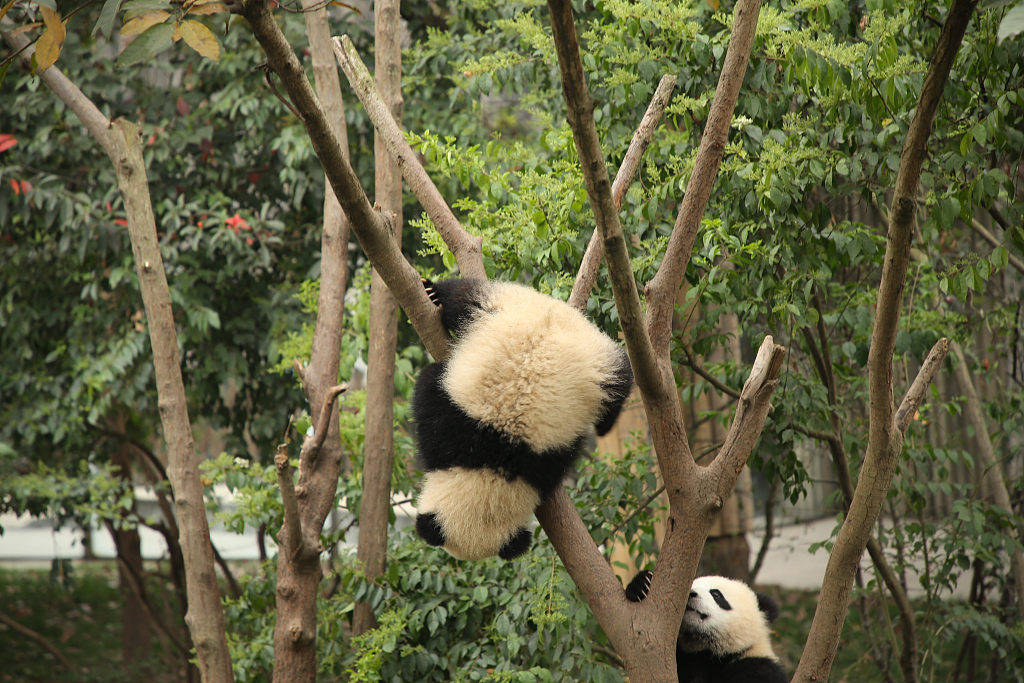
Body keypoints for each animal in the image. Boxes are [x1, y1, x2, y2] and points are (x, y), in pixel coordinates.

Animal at [409, 278, 630, 561]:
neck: (490, 468)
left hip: (594, 362)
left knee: (619, 385)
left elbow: (428, 385)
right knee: (460, 298)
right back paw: (433, 292)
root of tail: (557, 309)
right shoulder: (460, 427)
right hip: (498, 307)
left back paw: (604, 426)